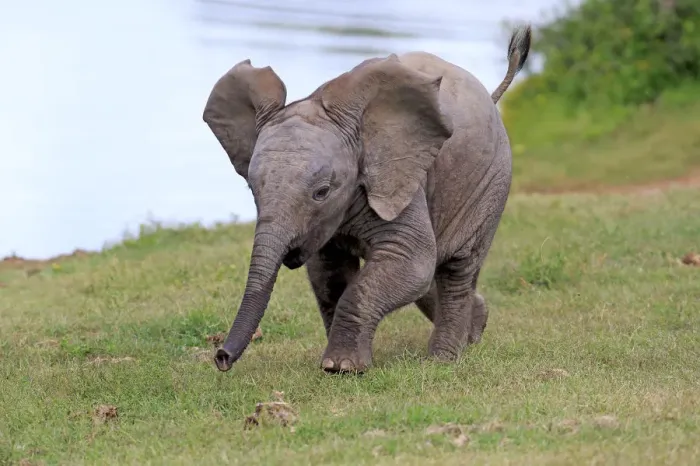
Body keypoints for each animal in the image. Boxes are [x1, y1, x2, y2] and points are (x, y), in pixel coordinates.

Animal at [203, 24, 532, 374]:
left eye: (322, 192)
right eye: (253, 190)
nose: (221, 358)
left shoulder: (397, 177)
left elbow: (411, 261)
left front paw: (342, 367)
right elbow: (329, 275)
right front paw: (337, 364)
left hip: (491, 181)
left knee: (457, 269)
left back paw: (443, 358)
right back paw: (475, 329)